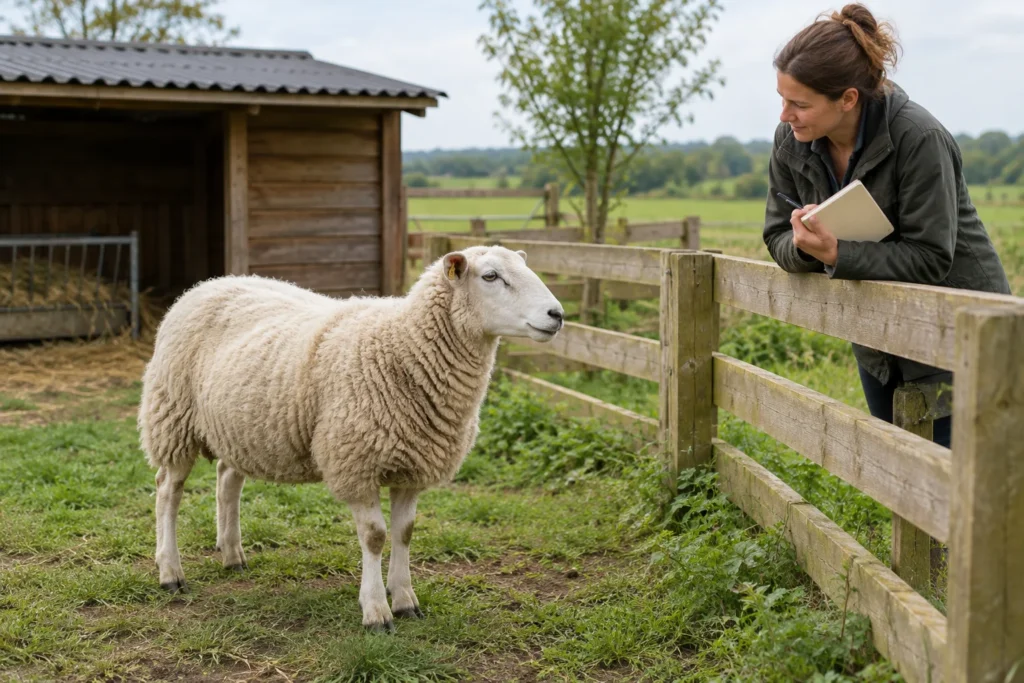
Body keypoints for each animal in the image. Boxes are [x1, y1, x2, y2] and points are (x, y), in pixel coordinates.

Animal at [137, 245, 564, 631]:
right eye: (490, 276)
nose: (557, 315)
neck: (403, 347)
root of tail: (209, 284)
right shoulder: (356, 463)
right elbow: (375, 537)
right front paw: (376, 612)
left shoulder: (413, 465)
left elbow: (405, 532)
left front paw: (405, 600)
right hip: (172, 418)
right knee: (167, 490)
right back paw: (170, 572)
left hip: (240, 427)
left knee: (227, 481)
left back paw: (233, 555)